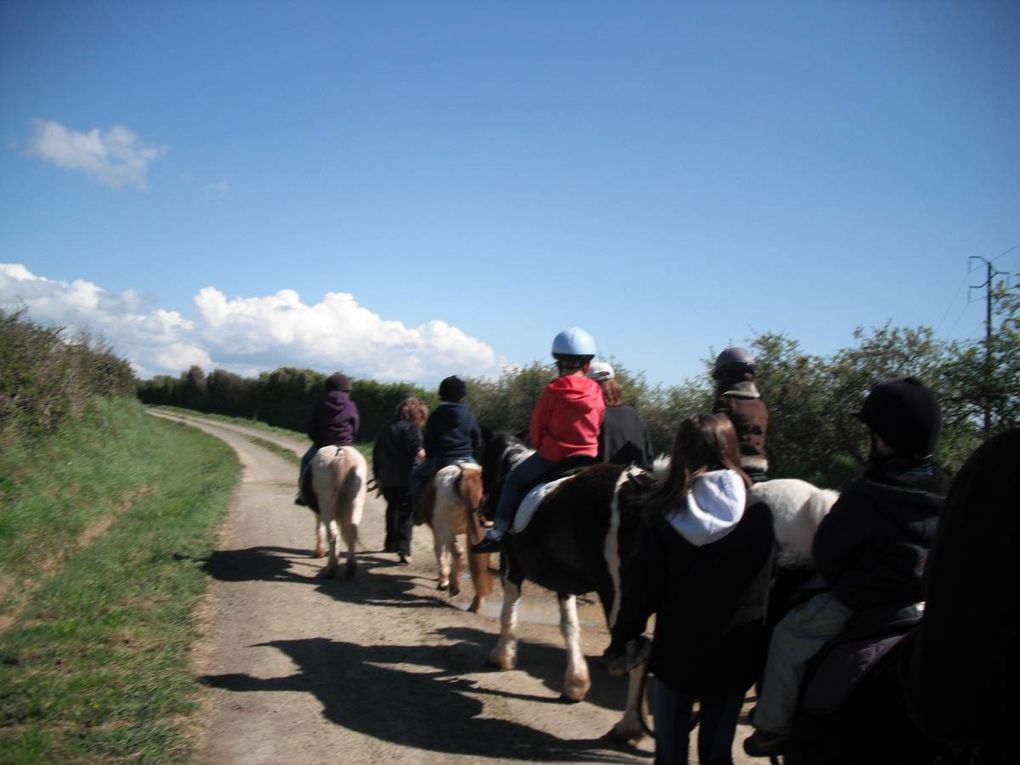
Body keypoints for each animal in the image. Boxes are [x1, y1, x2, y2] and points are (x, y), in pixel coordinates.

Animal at [308, 446, 369, 579]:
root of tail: (341, 455)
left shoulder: (319, 511)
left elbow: (319, 528)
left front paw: (319, 551)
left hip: (326, 505)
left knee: (333, 534)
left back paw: (331, 569)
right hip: (356, 503)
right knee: (352, 532)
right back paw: (351, 568)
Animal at [416, 465, 491, 616]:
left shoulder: (438, 531)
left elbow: (440, 553)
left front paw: (443, 581)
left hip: (445, 529)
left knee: (457, 552)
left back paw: (454, 586)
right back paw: (476, 603)